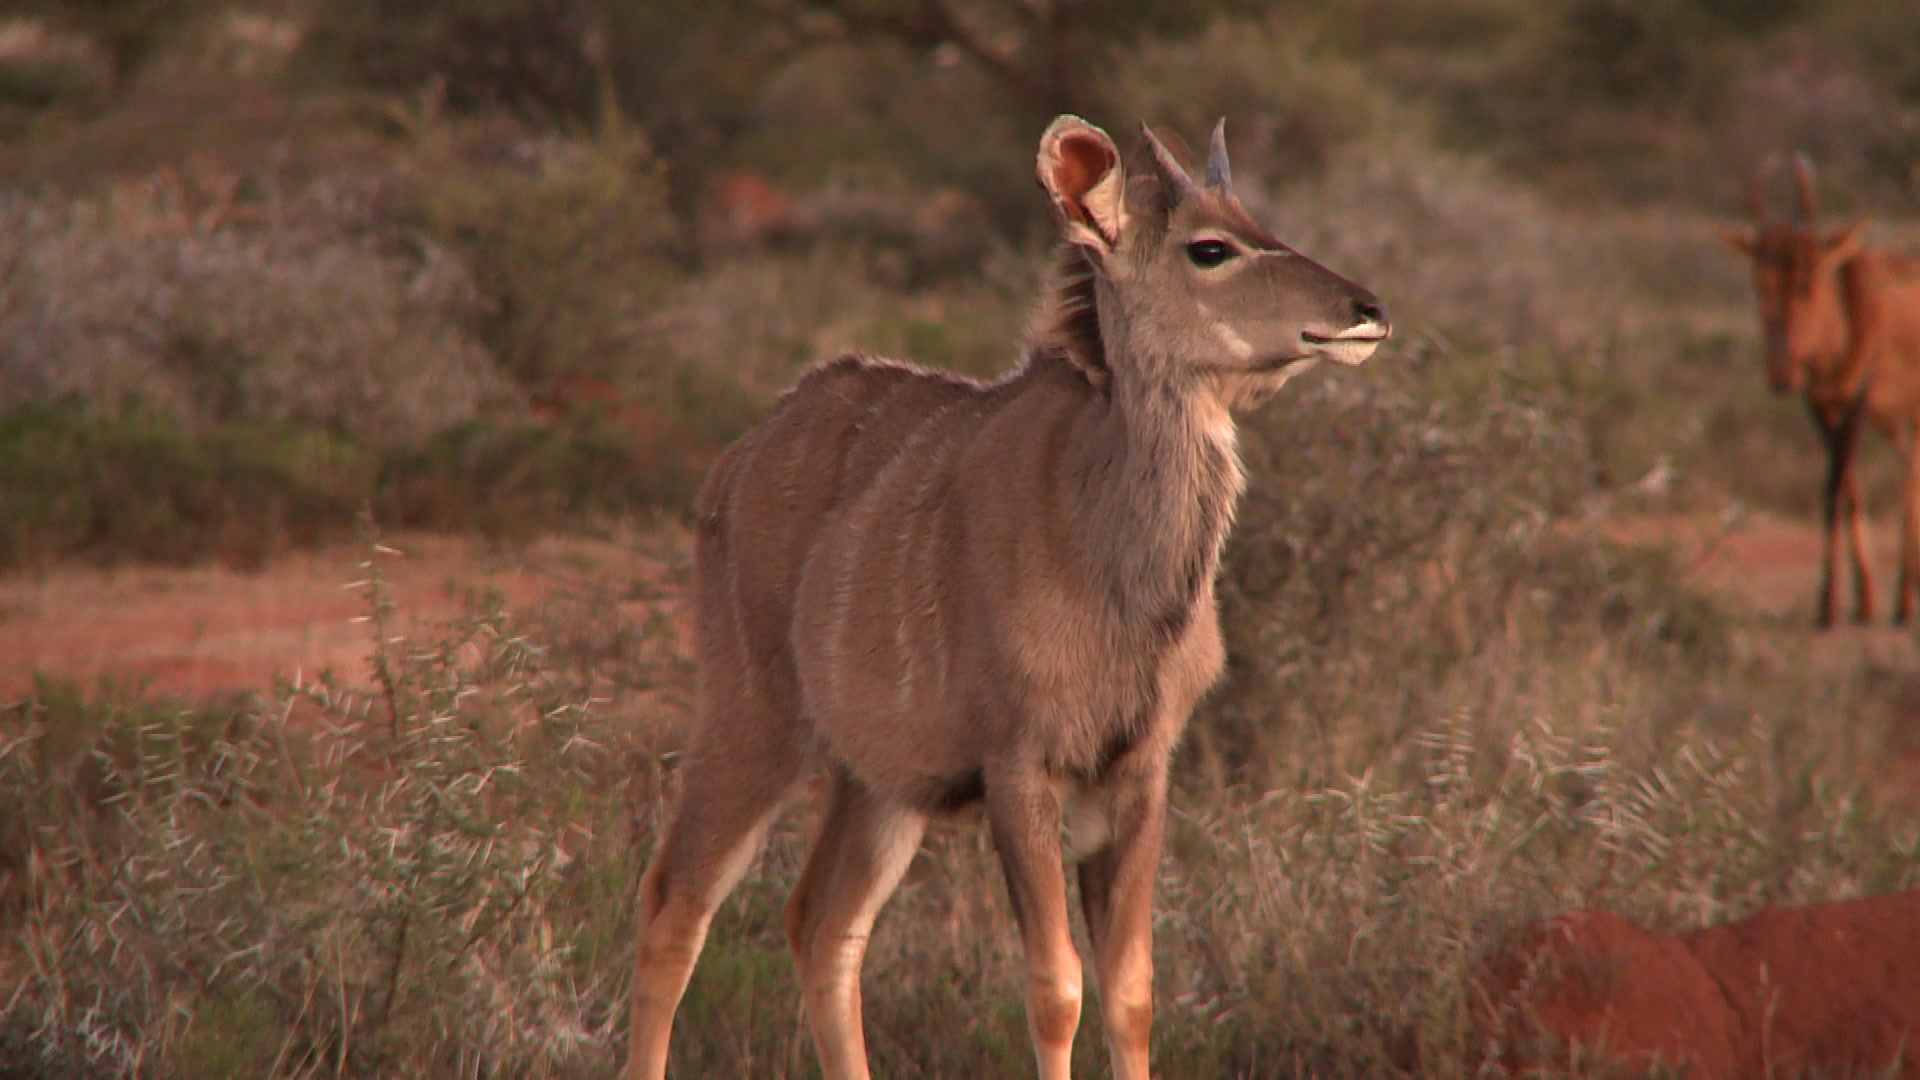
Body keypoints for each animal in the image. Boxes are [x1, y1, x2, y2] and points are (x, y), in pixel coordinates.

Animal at [624, 114, 1389, 1080]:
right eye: (1210, 247)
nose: (1366, 310)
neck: (1111, 565)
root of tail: (737, 459)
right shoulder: (1021, 767)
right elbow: (1056, 988)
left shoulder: (1138, 771)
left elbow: (1131, 990)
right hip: (752, 720)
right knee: (674, 905)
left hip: (881, 786)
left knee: (822, 924)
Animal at [1720, 155, 1920, 627]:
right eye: (1759, 282)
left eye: (1807, 279)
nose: (1781, 376)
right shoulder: (1822, 406)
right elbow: (1846, 489)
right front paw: (1860, 601)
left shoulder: (1860, 401)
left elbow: (1837, 485)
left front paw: (1827, 606)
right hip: (1897, 424)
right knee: (1909, 473)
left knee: (1911, 483)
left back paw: (1905, 602)